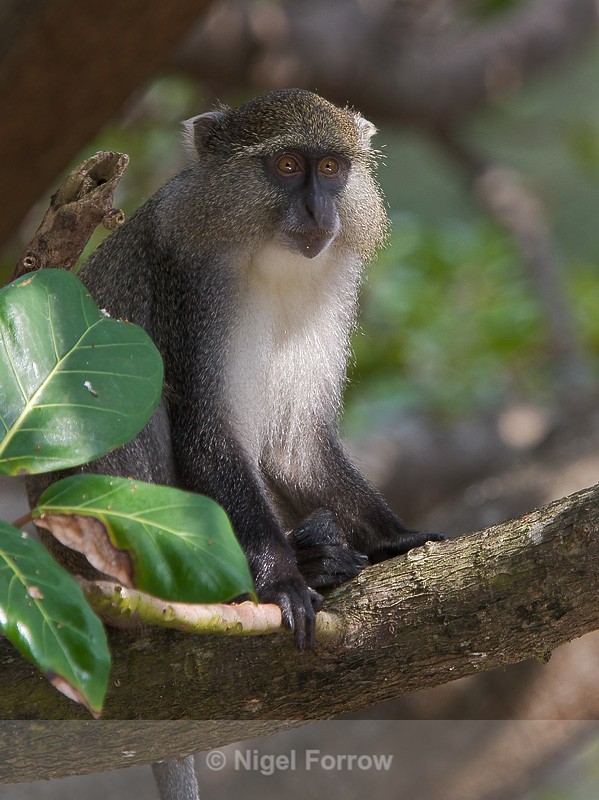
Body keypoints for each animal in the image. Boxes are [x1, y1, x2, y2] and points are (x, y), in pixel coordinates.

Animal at [30, 89, 444, 650]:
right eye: (287, 166)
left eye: (331, 168)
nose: (318, 208)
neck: (269, 255)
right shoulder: (191, 281)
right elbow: (208, 433)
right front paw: (282, 581)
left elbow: (297, 448)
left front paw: (397, 537)